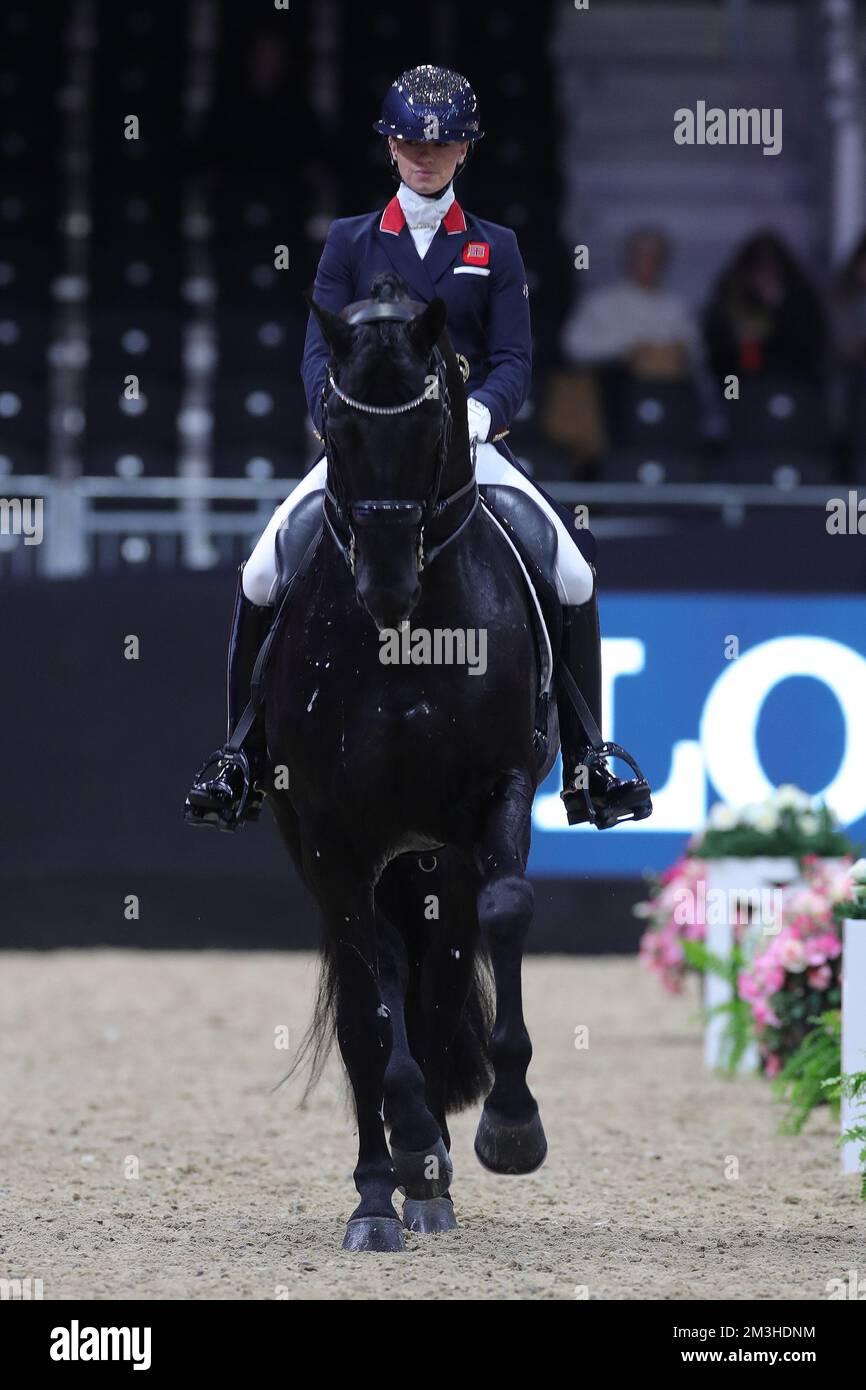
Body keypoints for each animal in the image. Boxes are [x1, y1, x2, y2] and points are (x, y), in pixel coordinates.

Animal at [264, 281, 558, 1251]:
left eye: (433, 421)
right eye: (335, 422)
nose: (386, 586)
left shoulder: (493, 800)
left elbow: (502, 916)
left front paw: (509, 1127)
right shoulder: (332, 838)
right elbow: (372, 1008)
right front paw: (411, 1151)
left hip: (432, 861)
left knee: (436, 982)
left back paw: (427, 1180)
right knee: (375, 1000)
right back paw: (381, 1189)